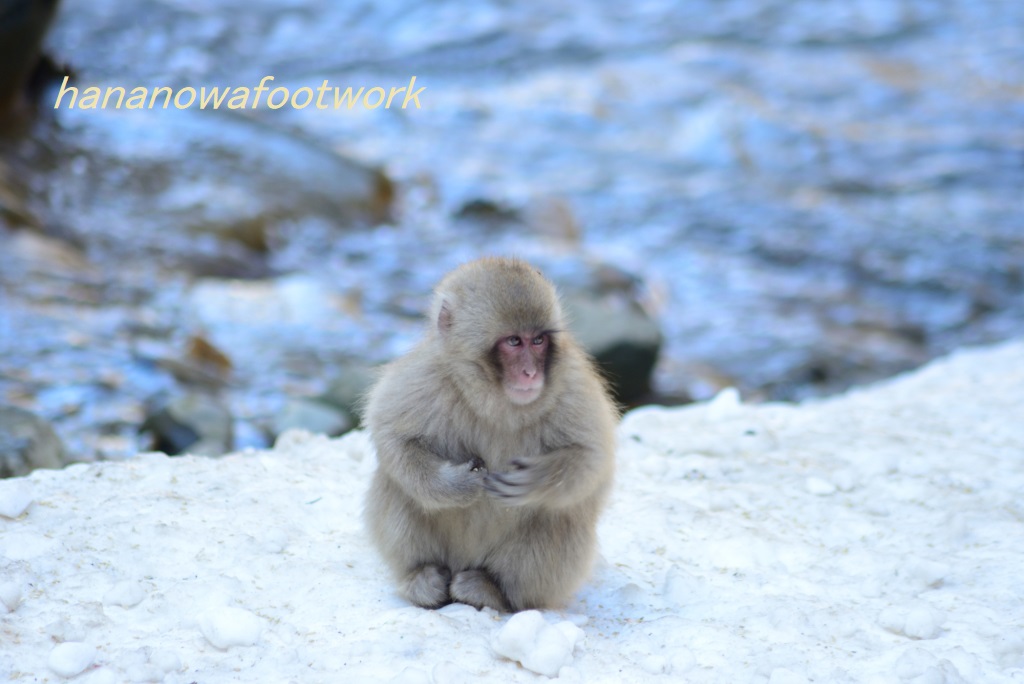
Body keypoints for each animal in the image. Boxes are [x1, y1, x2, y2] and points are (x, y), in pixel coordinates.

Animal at [364, 259, 614, 610]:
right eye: (514, 342)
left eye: (538, 340)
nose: (531, 373)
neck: (493, 398)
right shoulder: (425, 375)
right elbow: (392, 435)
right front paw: (455, 484)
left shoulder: (572, 384)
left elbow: (591, 457)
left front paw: (533, 480)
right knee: (398, 486)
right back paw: (422, 578)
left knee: (560, 515)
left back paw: (492, 591)